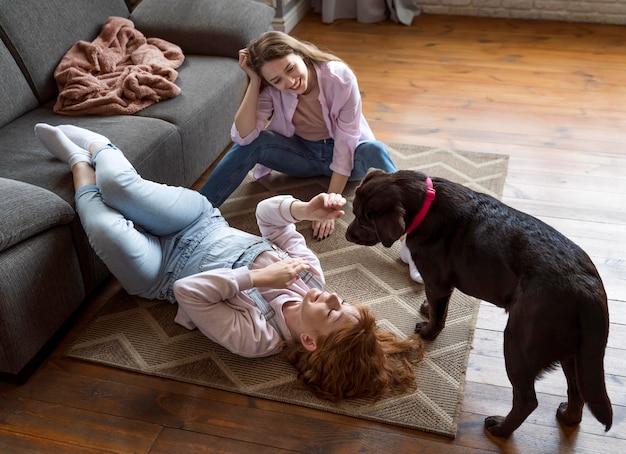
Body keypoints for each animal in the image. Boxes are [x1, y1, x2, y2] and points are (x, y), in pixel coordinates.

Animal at [342, 169, 608, 436]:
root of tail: (589, 293)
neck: (426, 203)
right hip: (573, 353)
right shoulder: (440, 286)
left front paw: (427, 332)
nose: (346, 235)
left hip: (519, 343)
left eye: (364, 220)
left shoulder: (437, 281)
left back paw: (500, 428)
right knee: (577, 391)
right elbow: (437, 307)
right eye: (354, 211)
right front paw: (427, 309)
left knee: (527, 400)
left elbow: (438, 314)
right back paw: (568, 417)